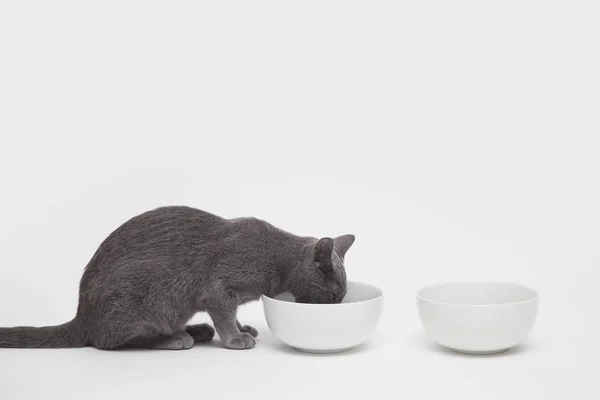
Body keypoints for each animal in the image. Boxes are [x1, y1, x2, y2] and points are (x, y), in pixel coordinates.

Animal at [0, 206, 354, 350]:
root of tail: (81, 316)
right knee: (112, 342)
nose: (338, 306)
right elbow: (225, 315)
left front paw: (243, 328)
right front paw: (235, 337)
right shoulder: (220, 289)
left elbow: (232, 315)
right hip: (150, 294)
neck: (278, 260)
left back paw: (195, 330)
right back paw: (175, 338)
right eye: (335, 295)